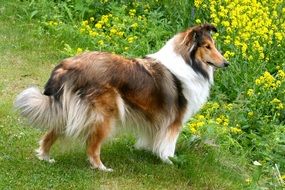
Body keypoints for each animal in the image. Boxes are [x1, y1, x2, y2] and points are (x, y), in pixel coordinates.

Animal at [15, 23, 229, 171]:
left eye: (213, 45)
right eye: (207, 46)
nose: (226, 63)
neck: (187, 63)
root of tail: (67, 66)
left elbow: (151, 136)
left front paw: (147, 150)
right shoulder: (175, 120)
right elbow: (169, 144)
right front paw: (170, 161)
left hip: (69, 110)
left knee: (50, 134)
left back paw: (45, 157)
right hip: (105, 115)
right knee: (91, 148)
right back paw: (102, 168)